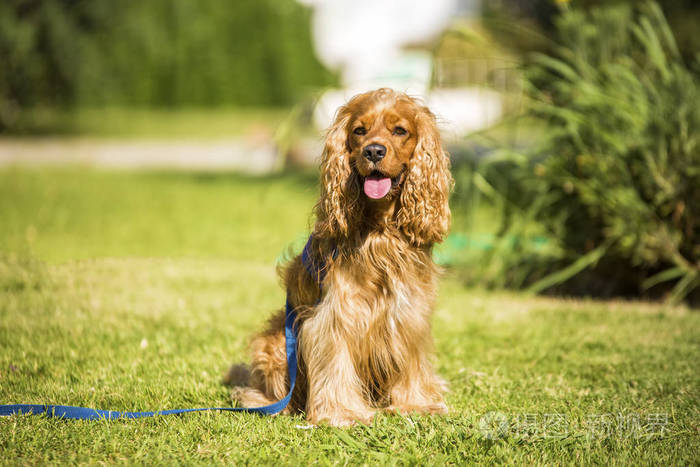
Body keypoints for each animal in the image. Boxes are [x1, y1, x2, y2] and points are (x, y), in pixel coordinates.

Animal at [227, 88, 452, 428]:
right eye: (359, 130)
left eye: (400, 131)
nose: (374, 151)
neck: (379, 230)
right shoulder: (334, 316)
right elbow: (335, 364)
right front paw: (342, 413)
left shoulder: (409, 312)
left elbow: (410, 360)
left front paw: (415, 403)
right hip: (276, 343)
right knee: (261, 393)